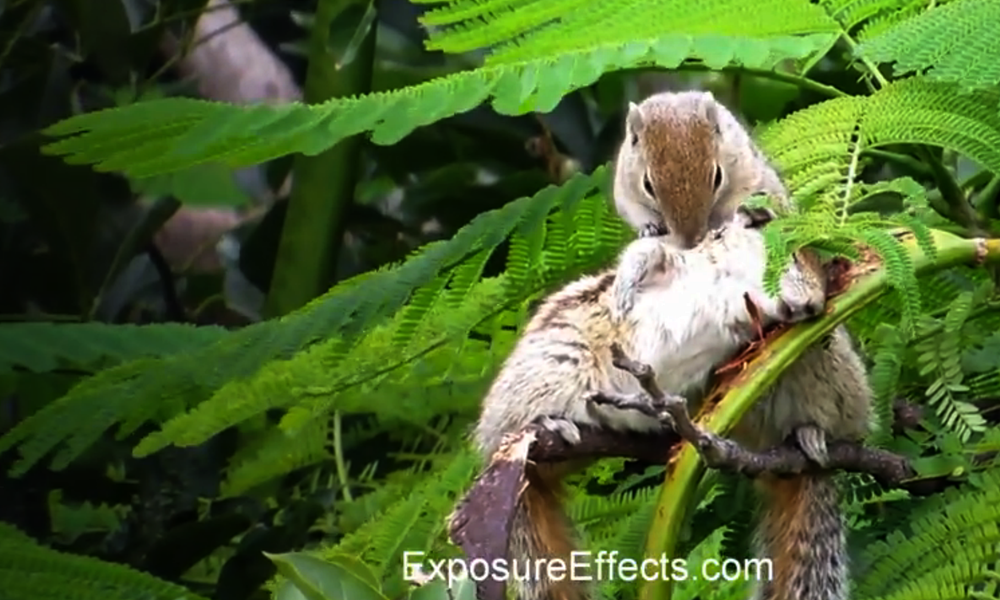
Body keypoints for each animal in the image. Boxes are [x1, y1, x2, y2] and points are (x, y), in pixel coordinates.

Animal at [612, 89, 875, 600]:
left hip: (829, 374)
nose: (690, 238)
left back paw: (813, 433)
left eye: (716, 175)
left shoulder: (760, 184)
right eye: (649, 183)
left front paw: (735, 220)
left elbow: (770, 214)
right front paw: (649, 238)